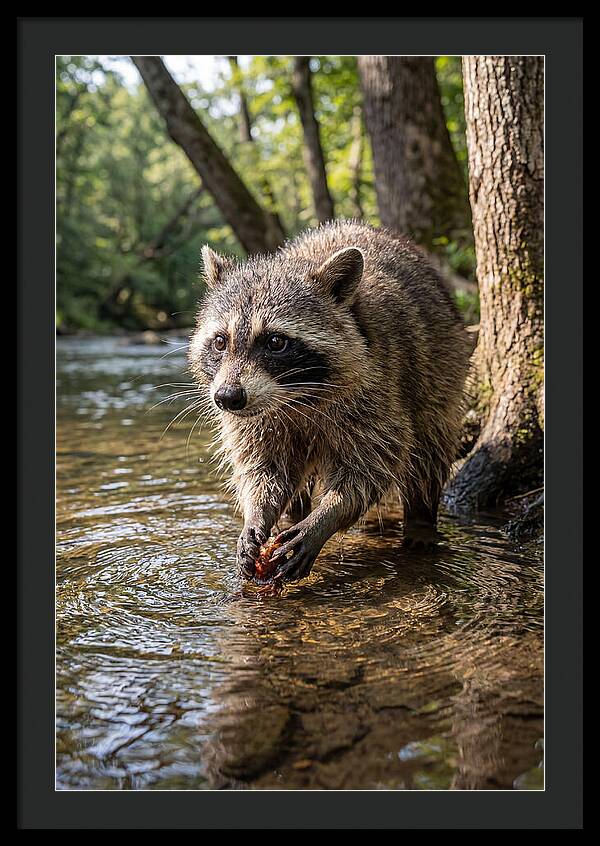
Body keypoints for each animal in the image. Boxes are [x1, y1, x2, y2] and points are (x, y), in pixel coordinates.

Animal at [189, 221, 470, 582]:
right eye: (221, 342)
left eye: (276, 342)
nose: (227, 398)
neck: (295, 396)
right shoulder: (256, 418)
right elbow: (263, 467)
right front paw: (257, 512)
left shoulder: (378, 389)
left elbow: (373, 466)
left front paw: (327, 516)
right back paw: (293, 514)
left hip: (442, 370)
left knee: (428, 453)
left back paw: (421, 520)